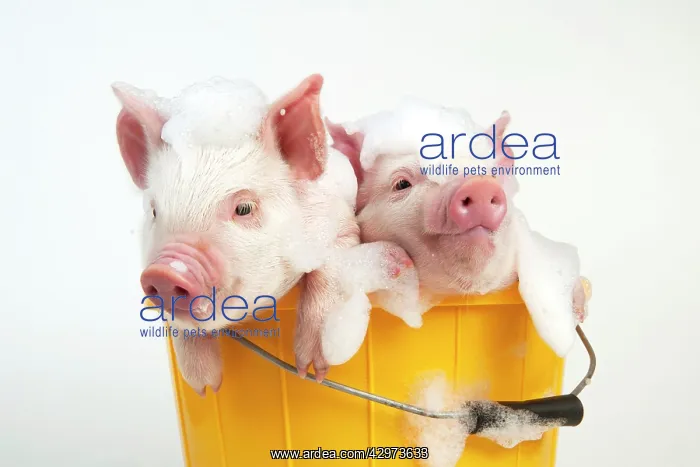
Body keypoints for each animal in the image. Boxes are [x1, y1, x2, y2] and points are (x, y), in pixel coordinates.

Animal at [112, 74, 420, 396]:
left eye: (244, 208)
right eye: (154, 211)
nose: (165, 271)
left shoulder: (343, 226)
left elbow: (330, 271)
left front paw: (311, 371)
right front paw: (206, 388)